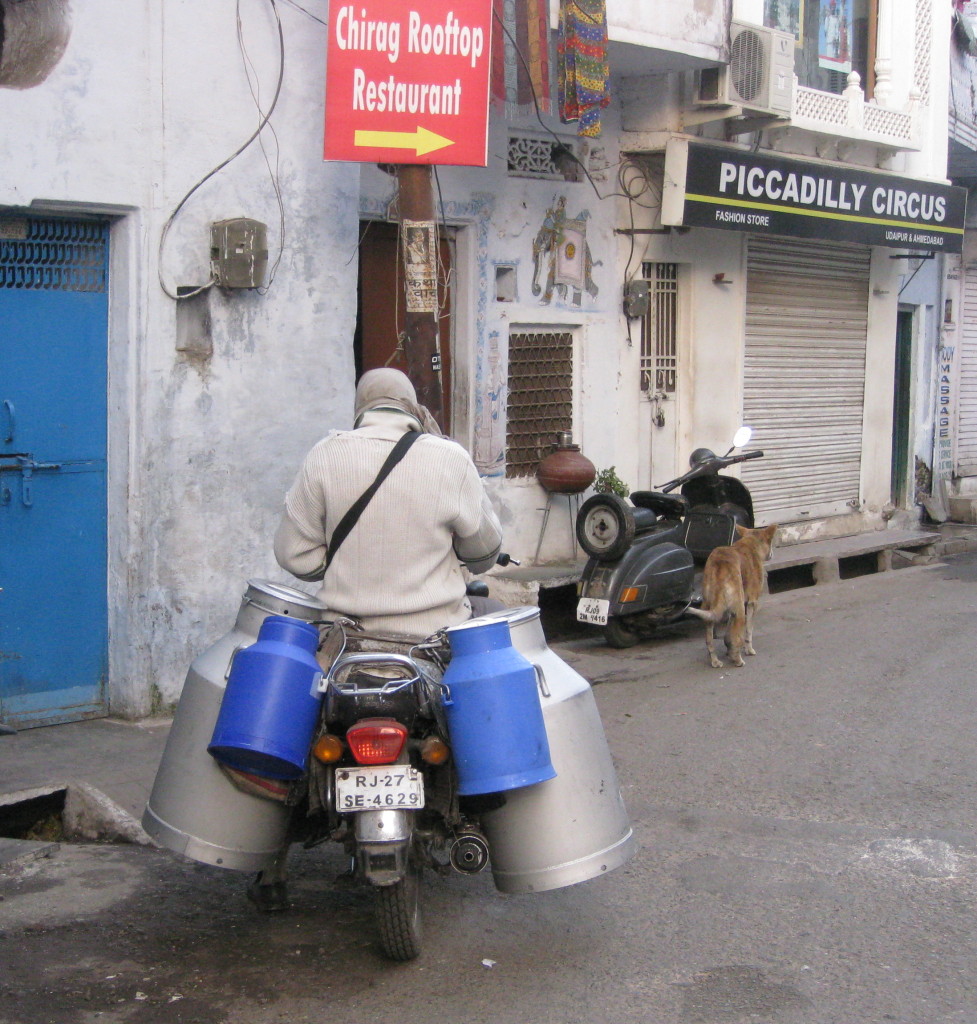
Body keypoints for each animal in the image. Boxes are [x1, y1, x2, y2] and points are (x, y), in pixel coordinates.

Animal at [684, 524, 778, 667]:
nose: (772, 555)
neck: (751, 543)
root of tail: (719, 564)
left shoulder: (731, 610)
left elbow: (728, 635)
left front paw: (728, 649)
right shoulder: (751, 603)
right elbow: (748, 631)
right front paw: (748, 650)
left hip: (709, 606)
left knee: (709, 642)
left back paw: (716, 660)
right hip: (739, 609)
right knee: (738, 637)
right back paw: (738, 660)